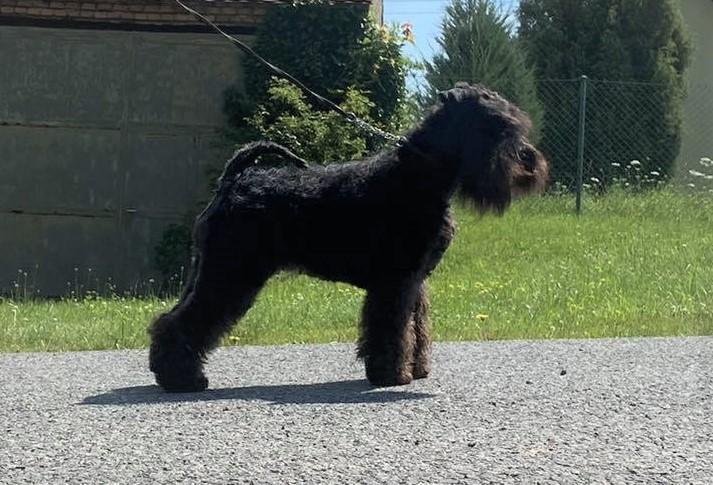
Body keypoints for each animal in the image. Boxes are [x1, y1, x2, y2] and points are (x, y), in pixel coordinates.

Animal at [149, 83, 549, 392]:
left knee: (168, 317)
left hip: (210, 271)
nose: (530, 161)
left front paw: (417, 368)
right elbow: (389, 327)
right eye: (494, 126)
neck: (420, 175)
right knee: (186, 322)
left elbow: (416, 325)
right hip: (229, 275)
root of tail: (233, 180)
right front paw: (391, 374)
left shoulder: (415, 281)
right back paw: (183, 380)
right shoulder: (394, 280)